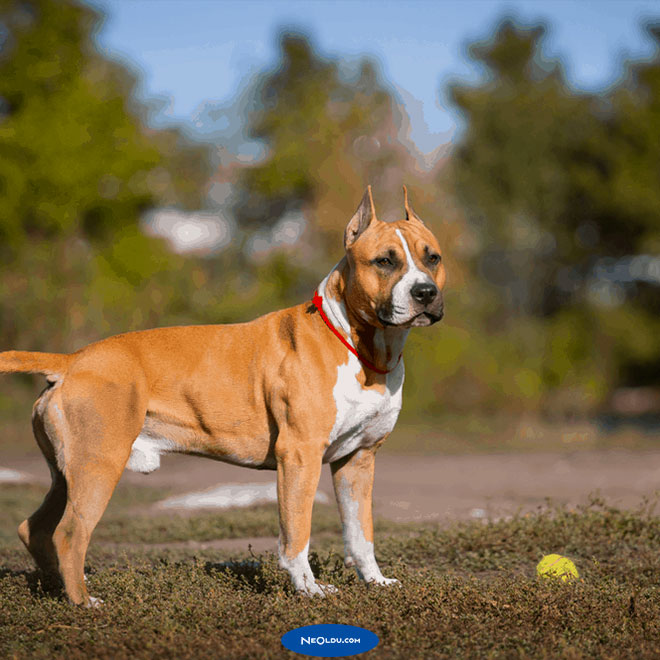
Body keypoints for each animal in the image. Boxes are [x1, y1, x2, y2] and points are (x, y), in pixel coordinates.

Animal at [0, 184, 446, 604]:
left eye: (433, 259)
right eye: (384, 261)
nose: (425, 293)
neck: (360, 345)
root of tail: (72, 359)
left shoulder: (358, 460)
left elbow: (361, 532)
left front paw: (377, 582)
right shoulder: (300, 456)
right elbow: (296, 533)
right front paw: (308, 590)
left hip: (68, 473)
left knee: (35, 528)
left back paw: (58, 588)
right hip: (99, 465)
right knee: (69, 533)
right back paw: (84, 602)